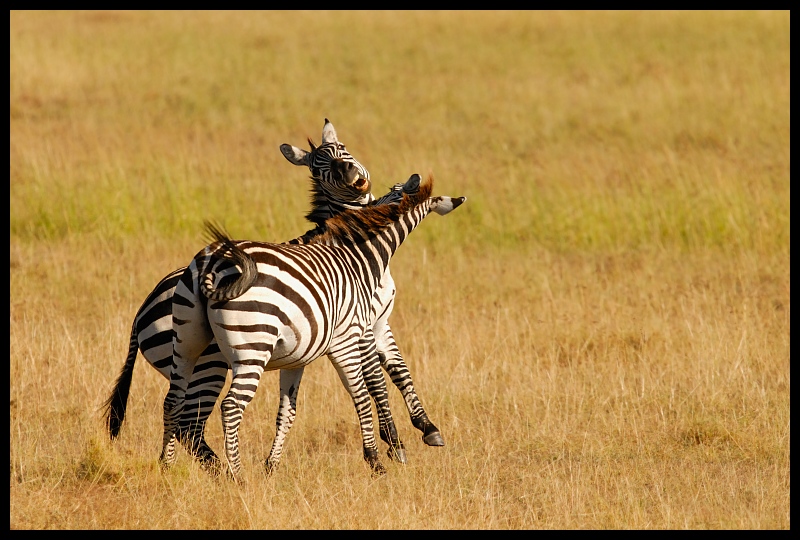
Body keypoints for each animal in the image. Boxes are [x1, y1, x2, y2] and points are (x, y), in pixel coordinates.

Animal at [162, 174, 462, 476]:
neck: (357, 260)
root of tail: (214, 262)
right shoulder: (347, 340)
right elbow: (364, 393)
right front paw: (376, 459)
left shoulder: (296, 357)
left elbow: (288, 411)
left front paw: (271, 467)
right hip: (251, 347)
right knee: (231, 406)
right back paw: (238, 475)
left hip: (187, 342)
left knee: (174, 400)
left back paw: (166, 466)